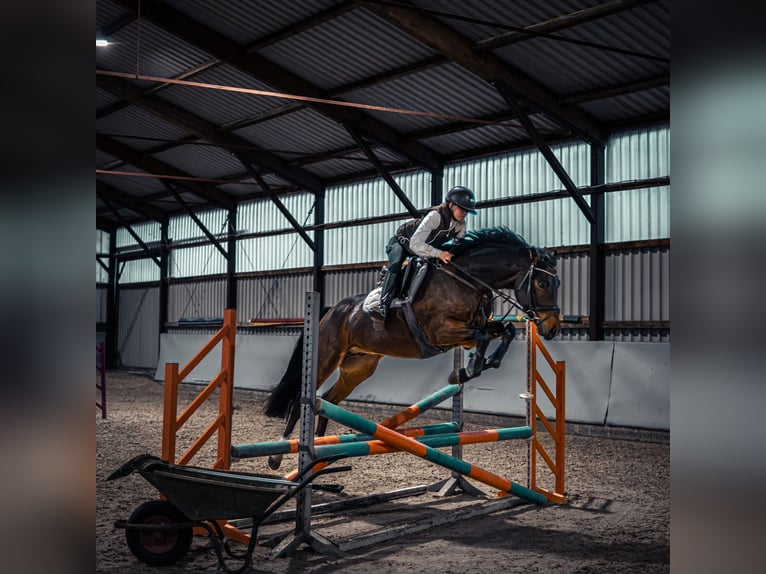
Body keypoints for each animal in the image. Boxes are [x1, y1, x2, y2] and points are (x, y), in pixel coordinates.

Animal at [268, 227, 560, 470]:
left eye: (556, 284)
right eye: (541, 283)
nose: (552, 329)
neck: (467, 281)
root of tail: (331, 312)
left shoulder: (467, 331)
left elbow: (504, 331)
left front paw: (475, 367)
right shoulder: (440, 331)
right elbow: (482, 336)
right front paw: (469, 369)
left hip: (358, 367)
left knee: (327, 399)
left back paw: (319, 450)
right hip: (325, 357)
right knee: (302, 398)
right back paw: (278, 455)